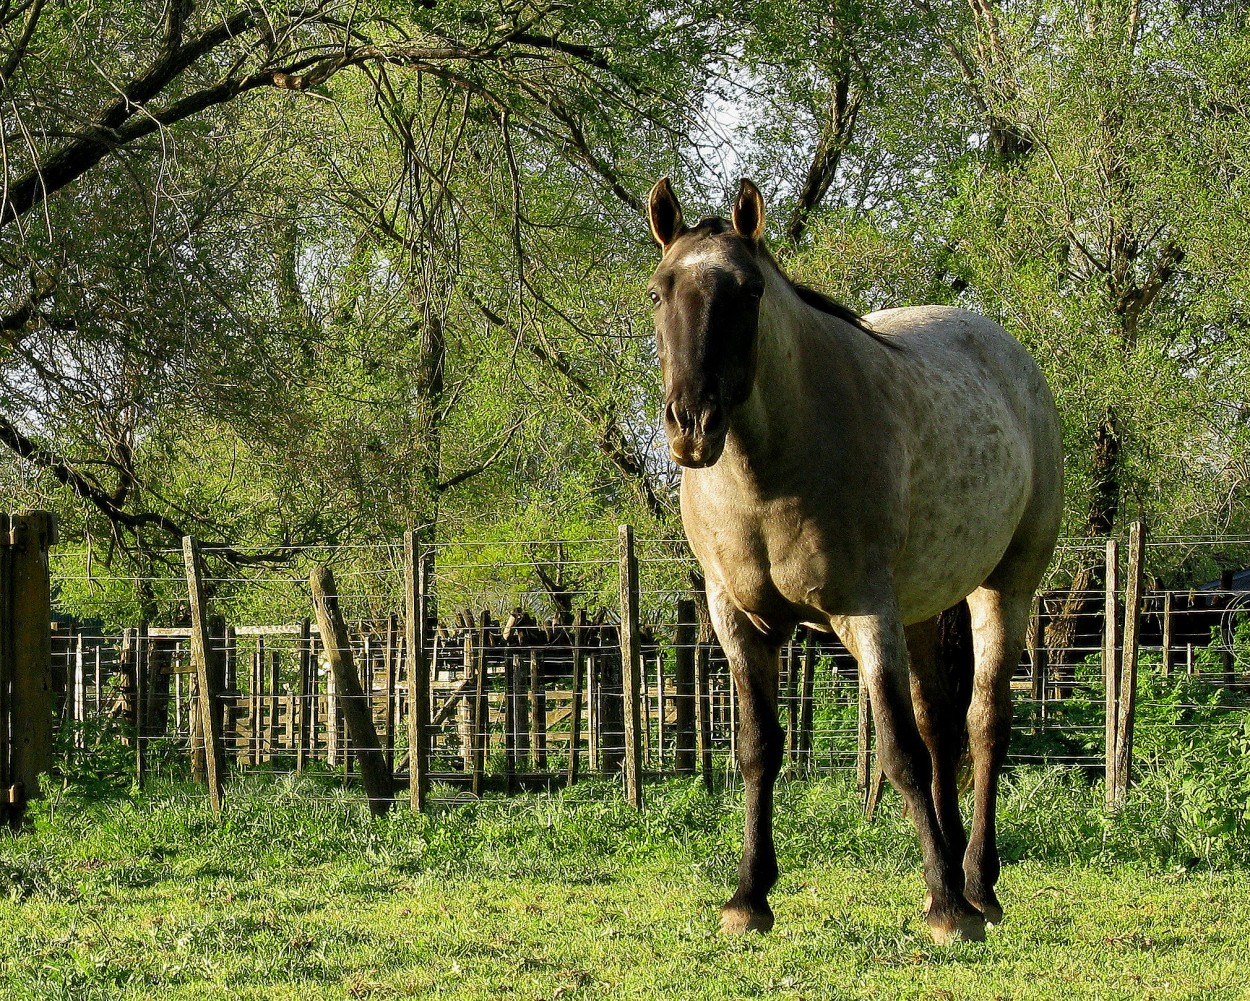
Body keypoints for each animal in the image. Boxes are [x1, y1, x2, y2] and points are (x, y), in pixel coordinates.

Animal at [645, 176, 1065, 939]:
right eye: (659, 291)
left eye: (749, 291)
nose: (691, 424)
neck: (771, 472)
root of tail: (1009, 353)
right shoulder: (736, 620)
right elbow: (758, 748)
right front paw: (749, 896)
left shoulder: (866, 611)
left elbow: (897, 753)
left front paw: (946, 906)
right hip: (924, 609)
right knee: (941, 726)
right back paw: (957, 865)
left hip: (1005, 589)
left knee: (985, 724)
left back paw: (976, 884)